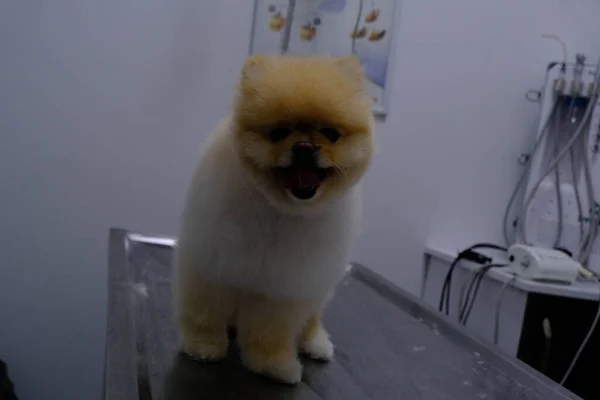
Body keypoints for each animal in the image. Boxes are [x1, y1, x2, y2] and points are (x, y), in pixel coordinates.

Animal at [171, 54, 372, 382]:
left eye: (331, 134)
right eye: (278, 133)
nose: (304, 147)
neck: (280, 210)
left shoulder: (284, 286)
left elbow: (270, 332)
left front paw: (272, 366)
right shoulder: (211, 263)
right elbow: (204, 311)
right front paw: (203, 345)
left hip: (320, 288)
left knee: (312, 318)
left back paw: (315, 343)